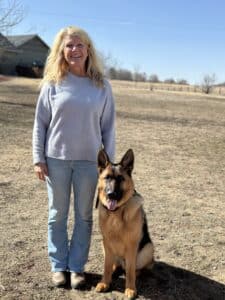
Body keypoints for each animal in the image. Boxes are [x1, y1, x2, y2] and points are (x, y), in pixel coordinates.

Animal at [95, 149, 155, 298]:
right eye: (107, 178)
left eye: (121, 178)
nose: (111, 194)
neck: (116, 212)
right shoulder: (107, 242)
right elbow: (106, 266)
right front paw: (105, 282)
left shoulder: (132, 245)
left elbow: (130, 270)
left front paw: (130, 289)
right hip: (106, 247)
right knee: (115, 265)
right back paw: (114, 270)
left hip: (148, 248)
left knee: (137, 268)